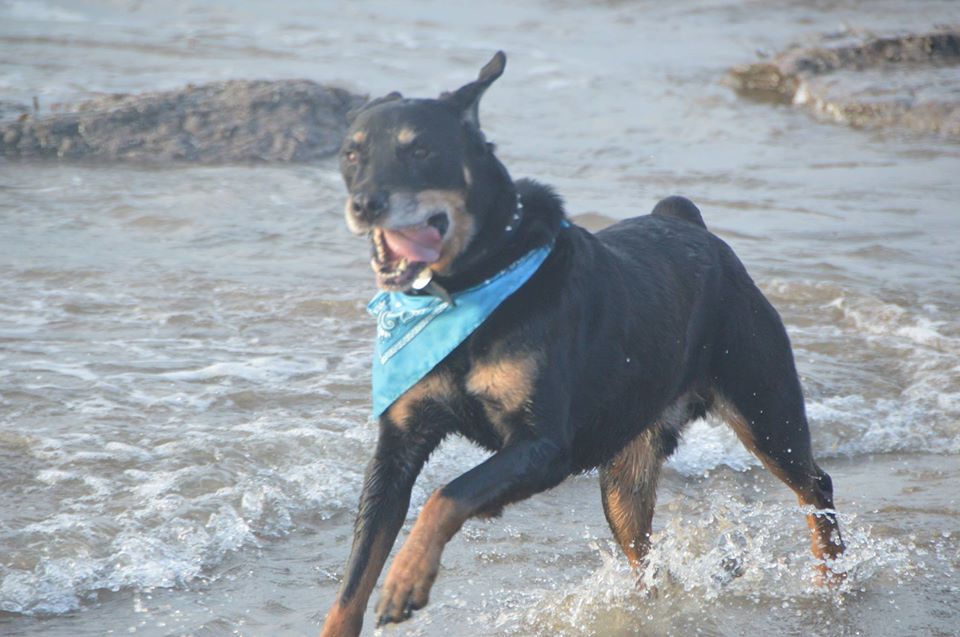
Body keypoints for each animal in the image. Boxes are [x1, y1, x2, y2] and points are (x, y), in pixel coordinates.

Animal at [320, 51, 840, 636]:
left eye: (421, 150)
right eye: (351, 154)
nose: (365, 204)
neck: (471, 282)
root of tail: (687, 222)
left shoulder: (545, 447)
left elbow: (446, 495)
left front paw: (406, 580)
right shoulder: (397, 448)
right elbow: (354, 575)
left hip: (761, 400)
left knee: (814, 485)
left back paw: (832, 585)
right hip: (627, 466)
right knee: (643, 552)